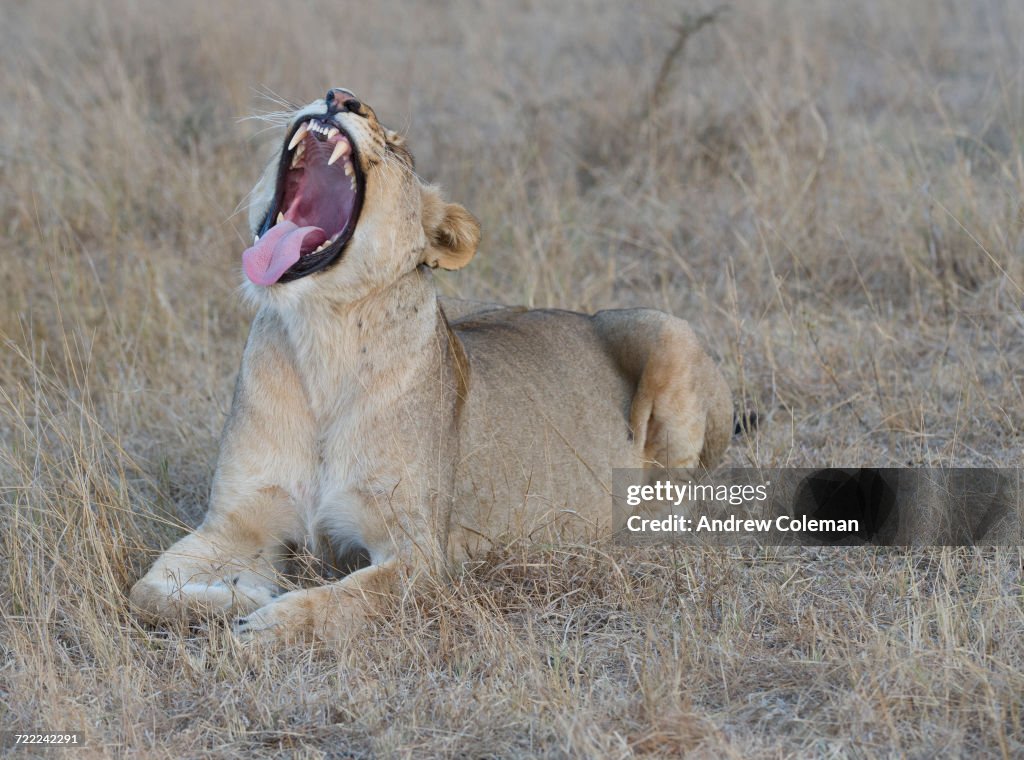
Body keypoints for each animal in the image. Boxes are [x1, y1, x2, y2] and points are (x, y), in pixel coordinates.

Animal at [130, 87, 737, 643]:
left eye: (400, 149)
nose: (341, 96)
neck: (321, 334)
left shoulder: (420, 554)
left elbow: (344, 599)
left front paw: (268, 621)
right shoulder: (236, 524)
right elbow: (147, 592)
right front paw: (243, 596)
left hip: (666, 329)